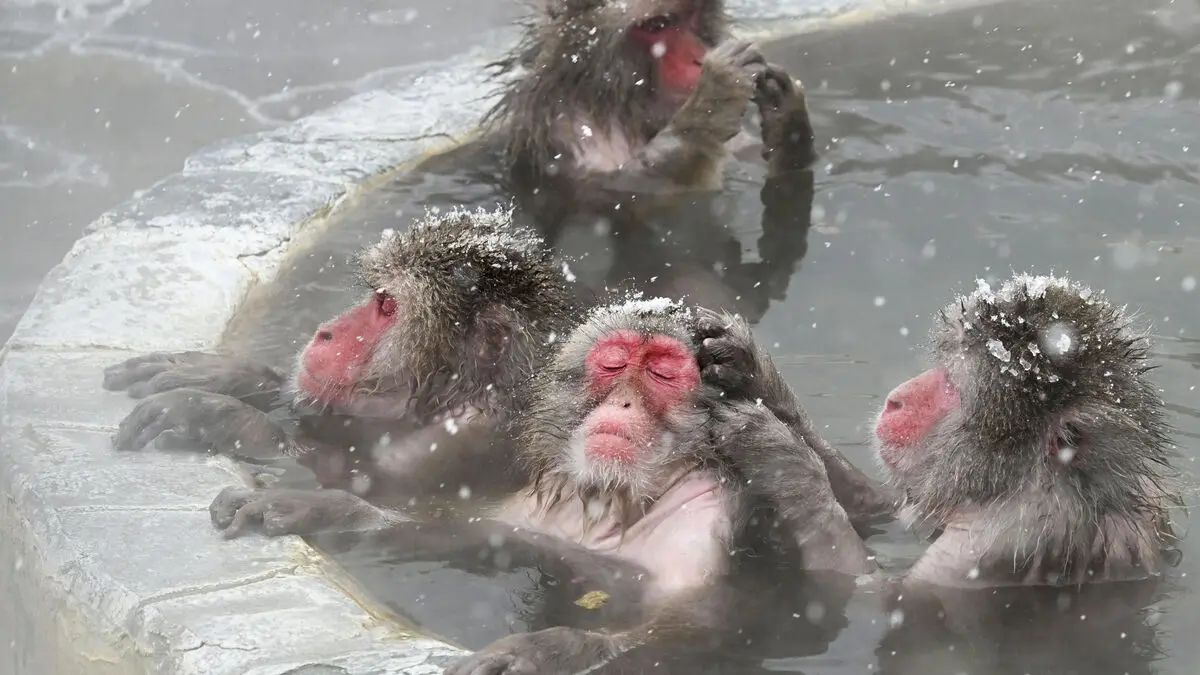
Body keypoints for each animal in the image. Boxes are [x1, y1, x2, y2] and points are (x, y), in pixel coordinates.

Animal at [101, 206, 577, 503]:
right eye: (376, 297)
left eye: (387, 306)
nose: (325, 332)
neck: (453, 397)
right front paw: (228, 376)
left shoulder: (461, 441)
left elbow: (365, 484)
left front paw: (217, 416)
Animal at [207, 297, 876, 674]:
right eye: (614, 363)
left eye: (663, 372)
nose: (625, 401)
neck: (621, 503)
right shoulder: (541, 515)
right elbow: (471, 534)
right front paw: (323, 508)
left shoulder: (708, 521)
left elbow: (705, 624)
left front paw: (552, 650)